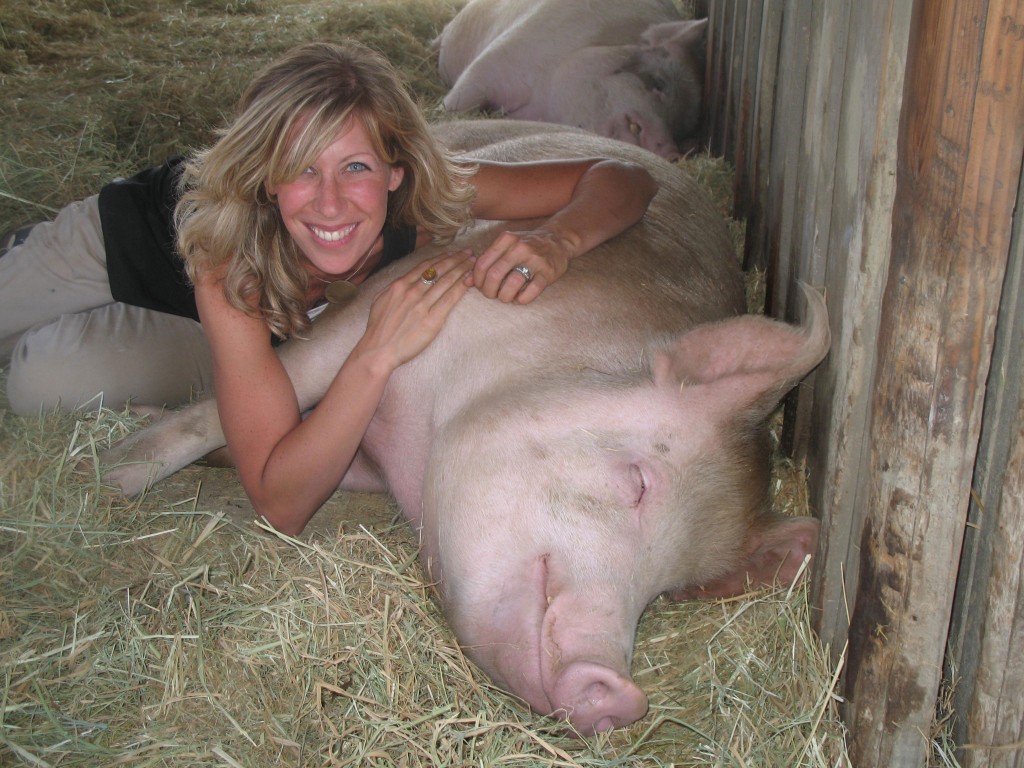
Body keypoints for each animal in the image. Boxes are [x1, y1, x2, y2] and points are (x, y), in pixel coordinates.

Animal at [97, 118, 831, 733]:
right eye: (639, 481)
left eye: (669, 590)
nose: (620, 695)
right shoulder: (394, 296)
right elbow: (255, 397)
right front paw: (108, 473)